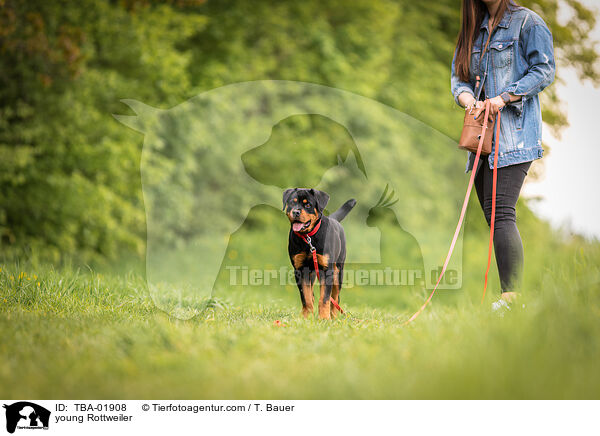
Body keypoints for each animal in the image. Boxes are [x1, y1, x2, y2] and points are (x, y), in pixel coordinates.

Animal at [282, 188, 354, 320]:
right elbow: (306, 297)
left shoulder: (327, 270)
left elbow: (325, 298)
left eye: (308, 205)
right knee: (312, 294)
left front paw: (324, 318)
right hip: (313, 273)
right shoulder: (300, 269)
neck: (308, 237)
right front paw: (306, 317)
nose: (296, 212)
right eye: (292, 202)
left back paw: (334, 317)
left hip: (338, 271)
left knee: (335, 297)